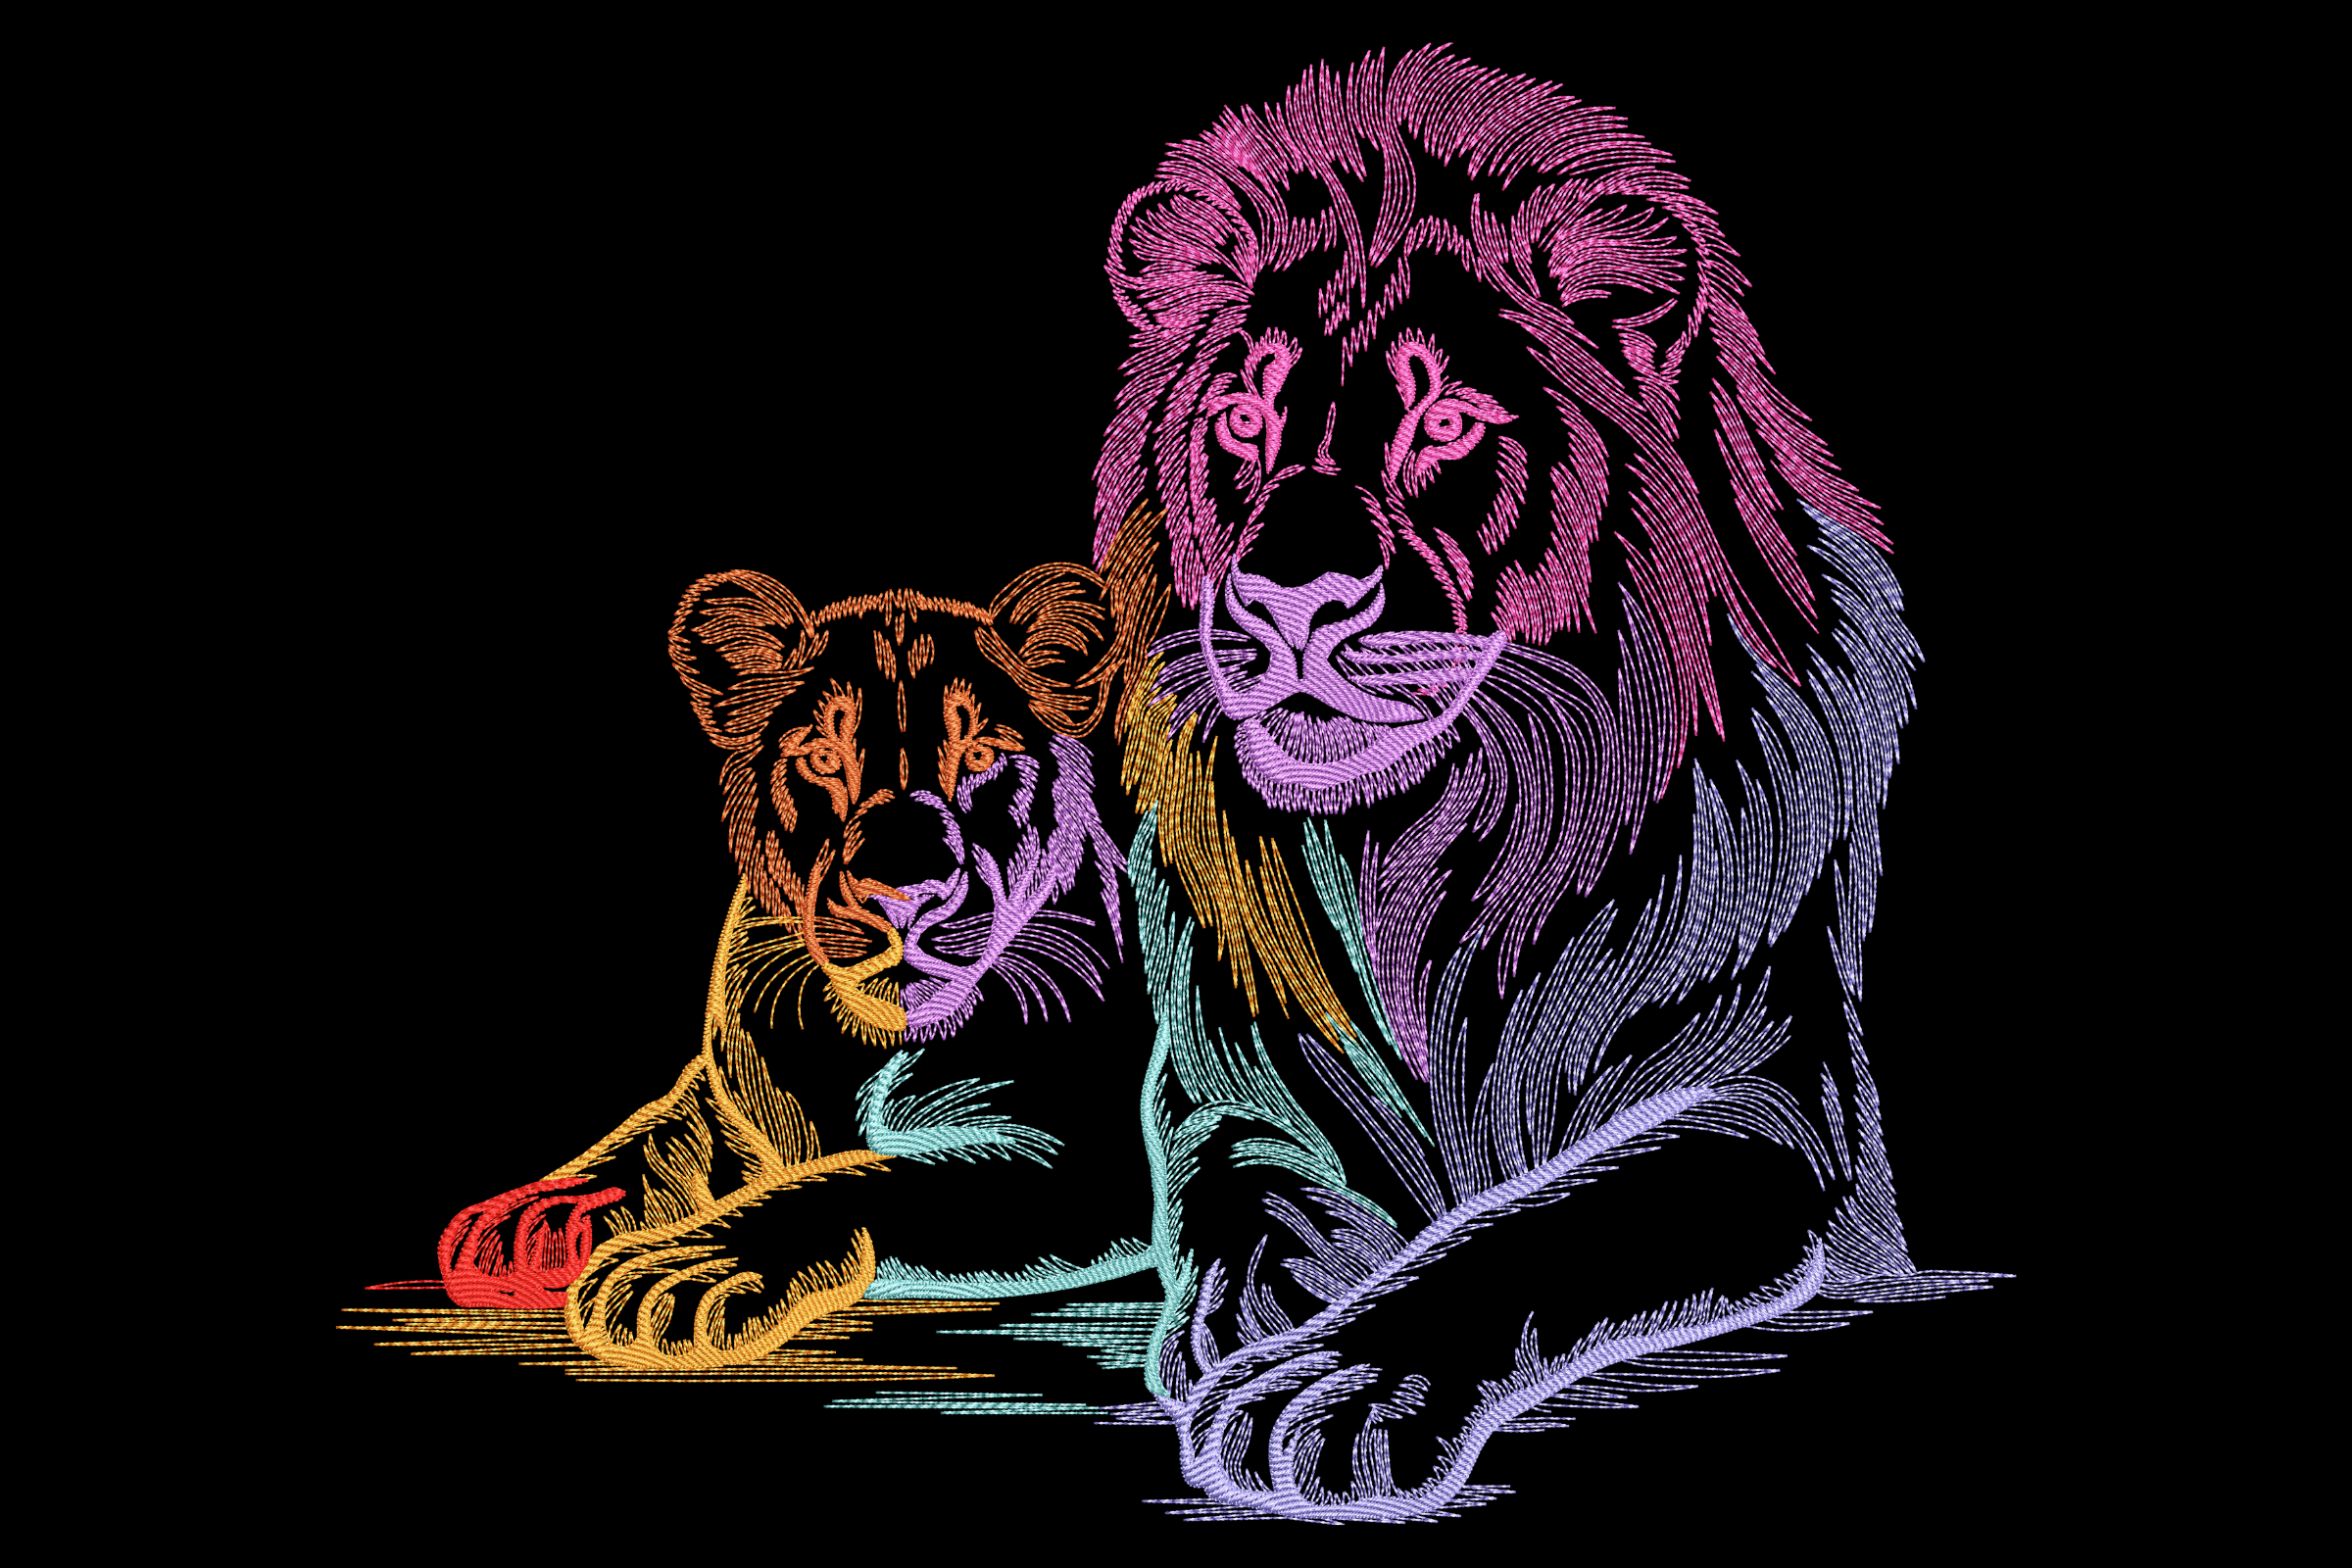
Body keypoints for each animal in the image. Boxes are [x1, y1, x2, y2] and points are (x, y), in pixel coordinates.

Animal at [434, 548, 1165, 1369]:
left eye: (980, 755)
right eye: (821, 756)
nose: (902, 895)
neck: (867, 1038)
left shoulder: (1085, 1160)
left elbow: (870, 1176)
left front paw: (682, 1269)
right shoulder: (727, 1097)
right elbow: (655, 1136)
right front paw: (529, 1220)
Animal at [1091, 47, 2001, 1520]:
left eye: (1448, 421)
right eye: (1244, 417)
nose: (1287, 602)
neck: (1414, 836)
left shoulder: (1759, 1101)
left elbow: (1534, 1227)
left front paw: (1332, 1381)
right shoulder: (1225, 1084)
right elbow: (1243, 1193)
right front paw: (1237, 1320)